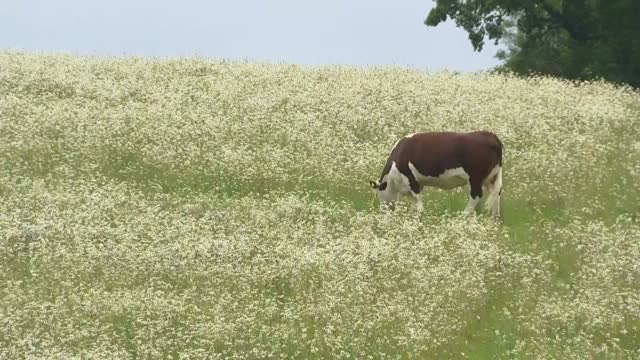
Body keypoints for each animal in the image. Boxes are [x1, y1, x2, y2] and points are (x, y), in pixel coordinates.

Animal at [370, 131, 504, 218]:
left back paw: (463, 216)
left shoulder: (411, 180)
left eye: (377, 194)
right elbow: (413, 202)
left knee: (476, 196)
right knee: (496, 194)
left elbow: (418, 202)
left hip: (475, 178)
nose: (384, 210)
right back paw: (494, 219)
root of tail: (490, 136)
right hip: (492, 177)